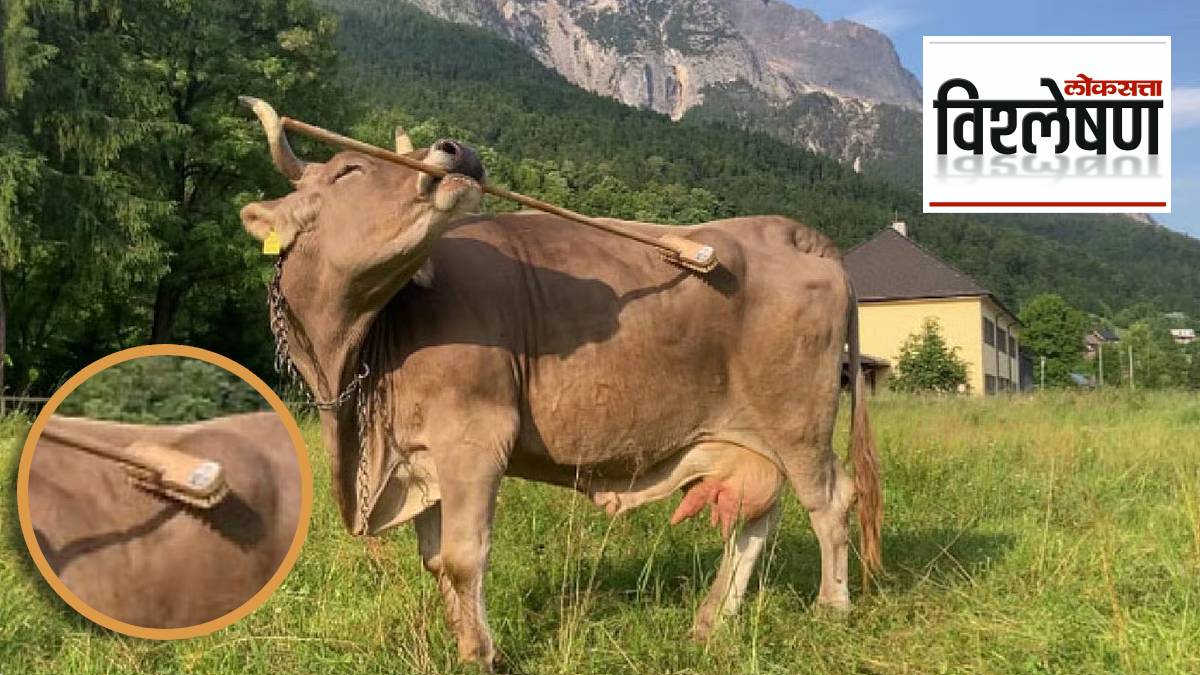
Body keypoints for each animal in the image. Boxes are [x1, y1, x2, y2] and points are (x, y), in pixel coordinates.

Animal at [239, 98, 881, 670]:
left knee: (829, 500)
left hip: (798, 420)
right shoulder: (419, 455)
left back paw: (831, 608)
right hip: (751, 436)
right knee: (757, 515)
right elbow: (435, 560)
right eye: (348, 170)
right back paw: (710, 621)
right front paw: (461, 643)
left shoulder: (473, 438)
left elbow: (463, 557)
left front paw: (483, 656)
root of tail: (789, 231)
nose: (456, 149)